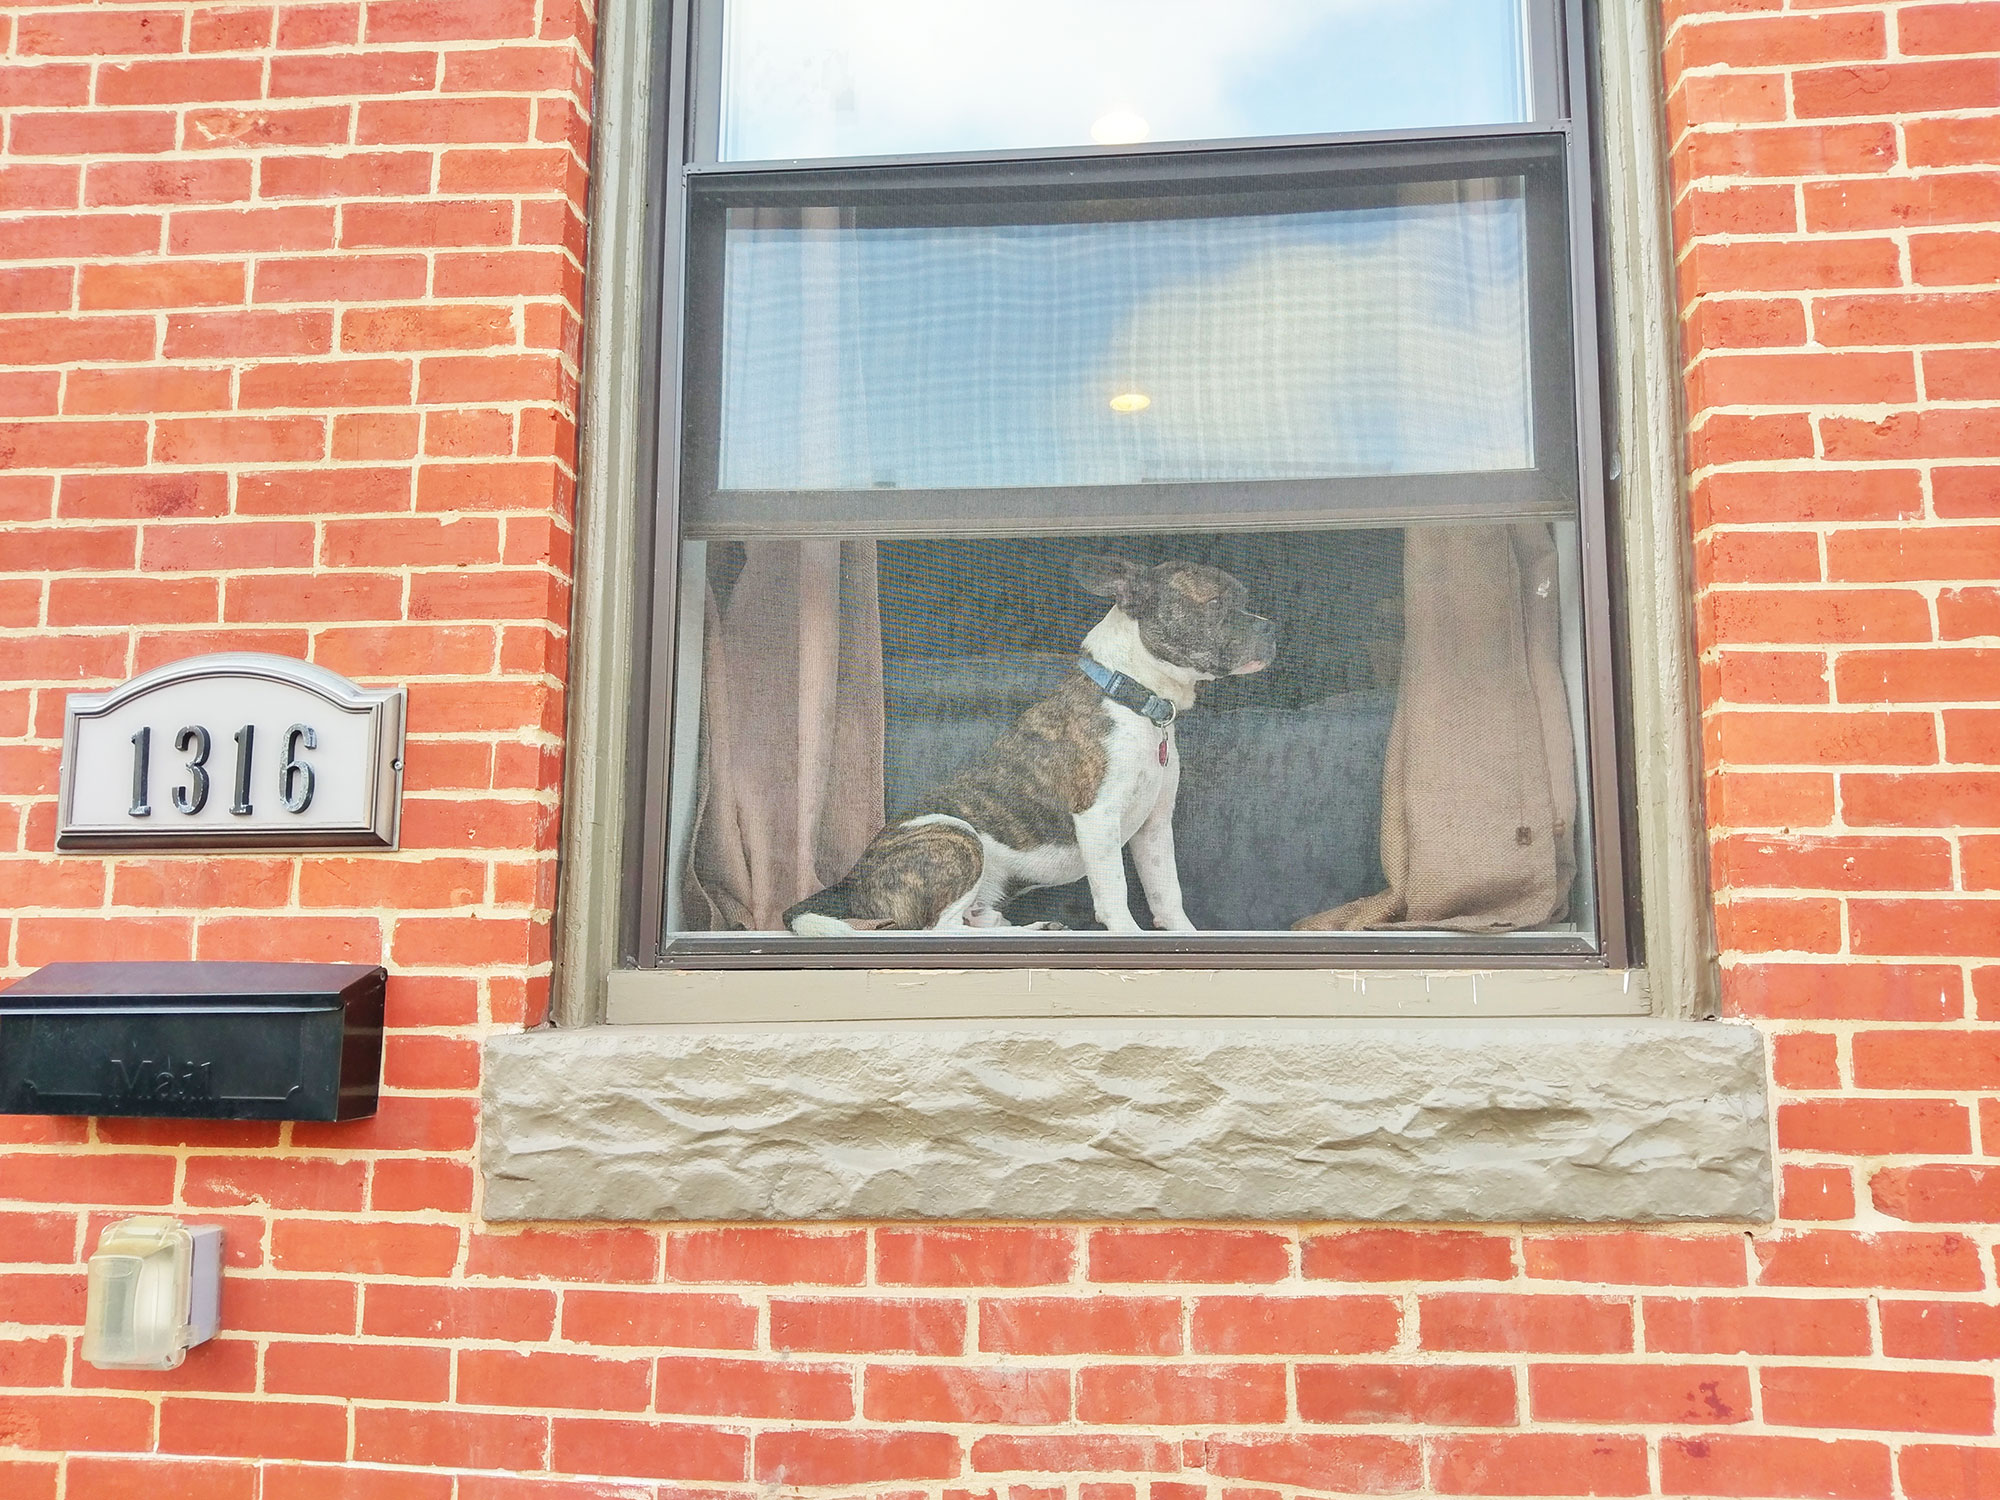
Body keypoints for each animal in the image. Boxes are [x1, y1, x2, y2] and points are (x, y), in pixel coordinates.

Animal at [784, 560, 1280, 940]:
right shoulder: (1098, 817)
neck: (1133, 698)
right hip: (957, 836)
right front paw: (1128, 935)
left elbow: (1167, 893)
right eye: (1215, 604)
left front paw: (1185, 935)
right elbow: (1115, 891)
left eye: (1244, 597)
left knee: (969, 920)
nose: (1272, 627)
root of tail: (851, 880)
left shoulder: (1154, 827)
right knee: (938, 929)